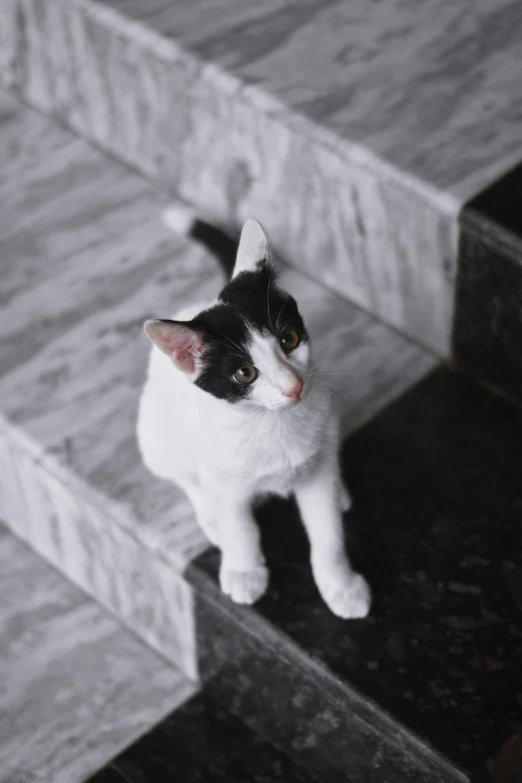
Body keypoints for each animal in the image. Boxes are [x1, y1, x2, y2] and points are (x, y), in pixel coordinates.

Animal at [136, 214, 368, 620]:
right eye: (244, 373)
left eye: (289, 339)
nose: (293, 386)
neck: (269, 422)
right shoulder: (223, 477)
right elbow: (240, 528)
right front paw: (244, 571)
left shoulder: (317, 469)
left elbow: (328, 533)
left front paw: (341, 585)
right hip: (154, 436)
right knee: (184, 477)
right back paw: (210, 518)